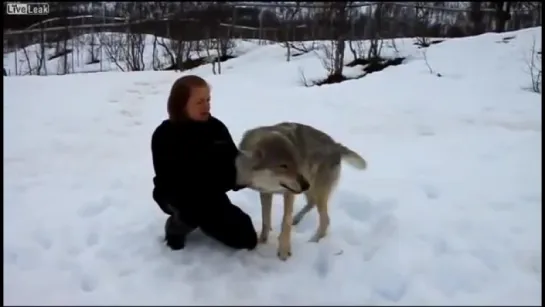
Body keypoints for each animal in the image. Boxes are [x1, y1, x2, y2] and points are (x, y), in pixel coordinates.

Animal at [234, 121, 366, 262]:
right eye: (283, 166)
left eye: (297, 162)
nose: (305, 184)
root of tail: (336, 145)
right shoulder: (265, 192)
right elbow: (266, 219)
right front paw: (262, 241)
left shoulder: (289, 193)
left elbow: (285, 221)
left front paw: (284, 251)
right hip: (310, 190)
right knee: (312, 203)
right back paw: (296, 219)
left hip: (316, 190)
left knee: (325, 219)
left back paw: (313, 241)